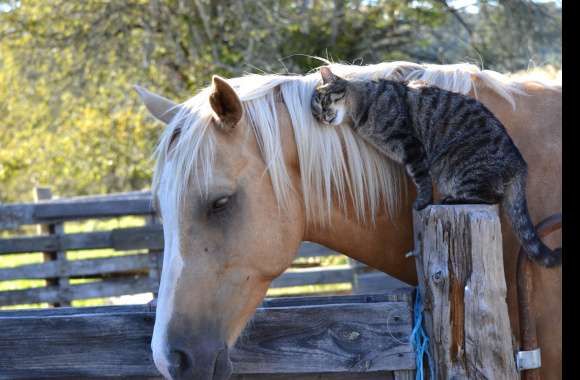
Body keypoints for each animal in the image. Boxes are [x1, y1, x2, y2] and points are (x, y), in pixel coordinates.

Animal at [312, 66, 560, 268]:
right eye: (316, 111)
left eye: (324, 100)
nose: (322, 117)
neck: (363, 105)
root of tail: (520, 164)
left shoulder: (410, 145)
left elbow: (421, 178)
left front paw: (422, 202)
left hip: (454, 166)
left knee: (490, 197)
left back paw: (452, 199)